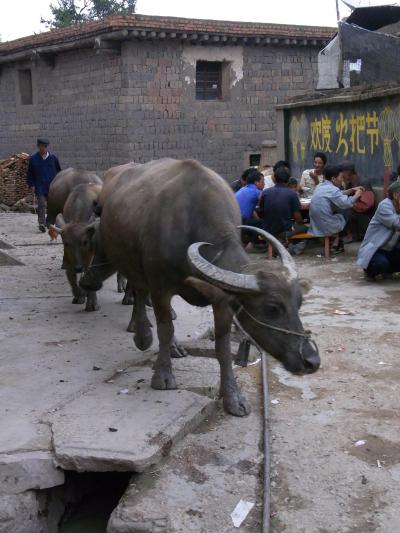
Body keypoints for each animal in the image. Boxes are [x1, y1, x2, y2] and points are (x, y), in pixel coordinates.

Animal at [53, 182, 101, 310]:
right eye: (66, 243)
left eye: (85, 242)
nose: (78, 268)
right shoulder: (68, 256)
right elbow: (70, 274)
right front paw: (79, 295)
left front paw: (92, 302)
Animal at [79, 158, 320, 416]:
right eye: (272, 308)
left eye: (299, 304)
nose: (312, 361)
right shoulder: (160, 287)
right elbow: (165, 329)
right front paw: (163, 376)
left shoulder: (223, 301)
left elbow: (222, 348)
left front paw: (233, 398)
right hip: (127, 259)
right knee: (139, 291)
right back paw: (142, 333)